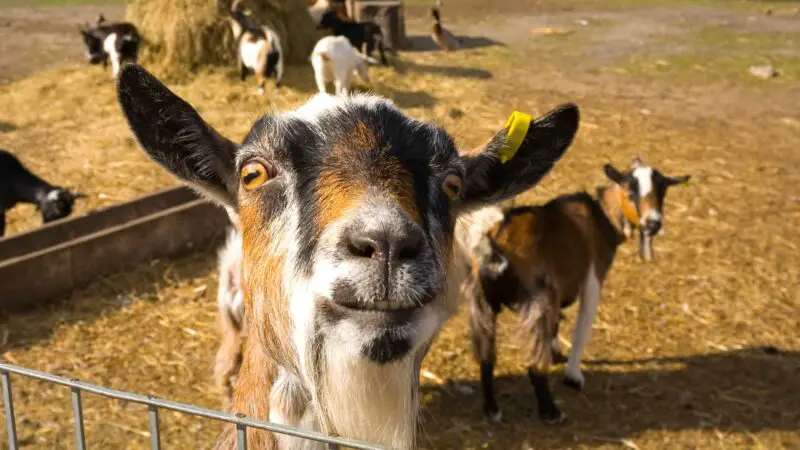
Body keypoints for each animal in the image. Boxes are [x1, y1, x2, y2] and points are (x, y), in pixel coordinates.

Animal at [460, 159, 692, 426]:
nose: (653, 223)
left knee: (486, 358)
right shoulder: (592, 279)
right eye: (630, 191)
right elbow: (581, 330)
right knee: (534, 365)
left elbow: (557, 325)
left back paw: (492, 408)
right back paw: (550, 411)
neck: (601, 218)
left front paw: (556, 352)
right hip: (538, 300)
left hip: (481, 301)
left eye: (662, 191)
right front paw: (573, 375)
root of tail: (495, 246)